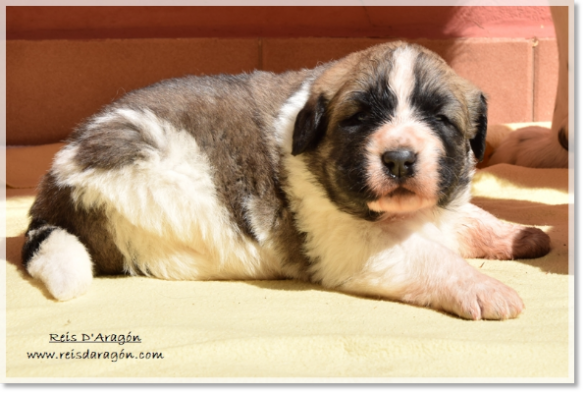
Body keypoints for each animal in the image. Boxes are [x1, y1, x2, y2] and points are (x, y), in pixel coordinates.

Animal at [21, 42, 548, 320]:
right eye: (358, 119)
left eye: (440, 119)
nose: (399, 159)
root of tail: (53, 187)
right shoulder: (354, 247)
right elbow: (432, 258)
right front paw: (484, 287)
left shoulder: (439, 208)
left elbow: (471, 218)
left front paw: (520, 235)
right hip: (156, 174)